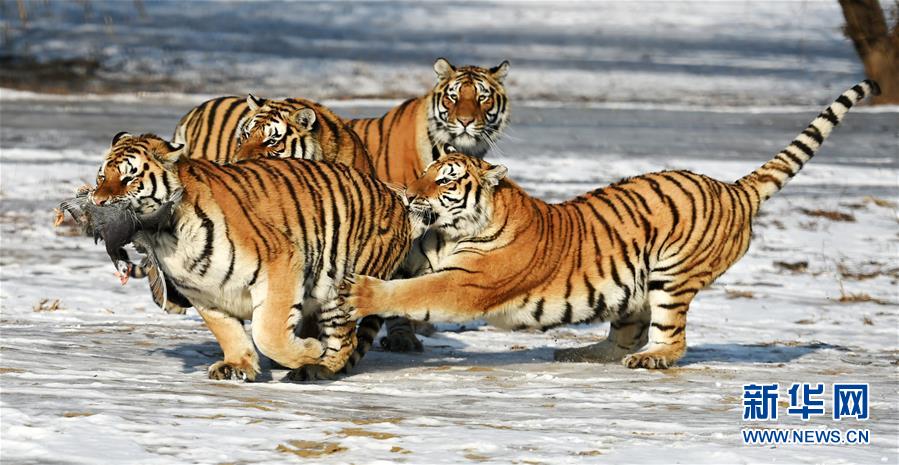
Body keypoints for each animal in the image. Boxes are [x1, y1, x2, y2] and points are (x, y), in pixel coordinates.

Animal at [342, 80, 884, 370]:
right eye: (426, 171)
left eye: (447, 180)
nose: (409, 195)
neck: (451, 230)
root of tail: (730, 188)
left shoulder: (466, 283)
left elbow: (413, 292)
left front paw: (364, 293)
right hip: (632, 286)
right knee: (627, 333)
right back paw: (579, 353)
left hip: (672, 276)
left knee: (668, 338)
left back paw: (650, 359)